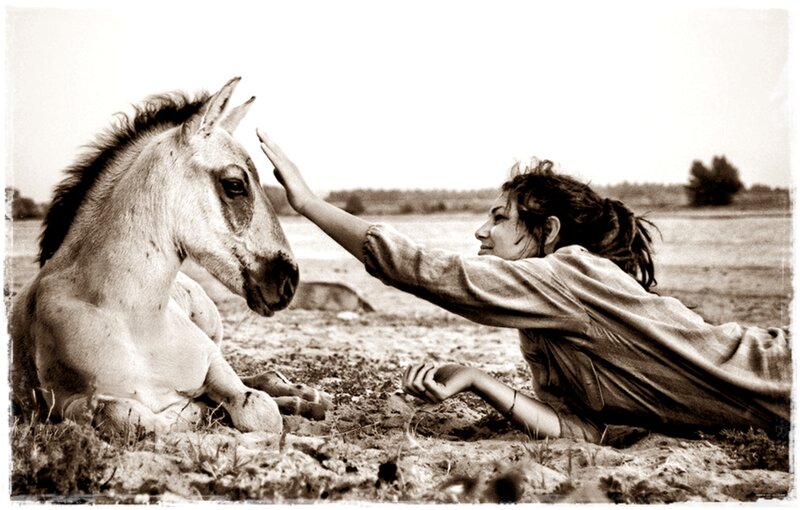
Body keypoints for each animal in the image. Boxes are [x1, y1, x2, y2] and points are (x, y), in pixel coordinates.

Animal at [9, 77, 331, 435]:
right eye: (235, 184)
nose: (288, 281)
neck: (137, 323)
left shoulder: (213, 362)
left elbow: (258, 409)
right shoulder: (67, 404)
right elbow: (131, 416)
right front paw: (199, 410)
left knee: (262, 378)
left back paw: (306, 397)